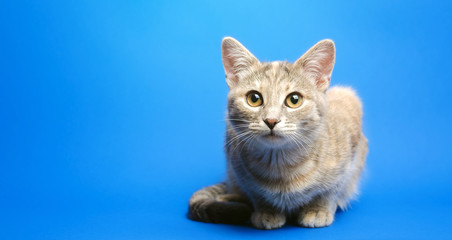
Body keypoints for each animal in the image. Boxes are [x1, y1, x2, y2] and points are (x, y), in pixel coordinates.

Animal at [187, 36, 368, 230]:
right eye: (254, 98)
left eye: (294, 100)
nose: (271, 120)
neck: (281, 164)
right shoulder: (236, 160)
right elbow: (255, 192)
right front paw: (267, 211)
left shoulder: (350, 145)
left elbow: (331, 189)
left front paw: (318, 210)